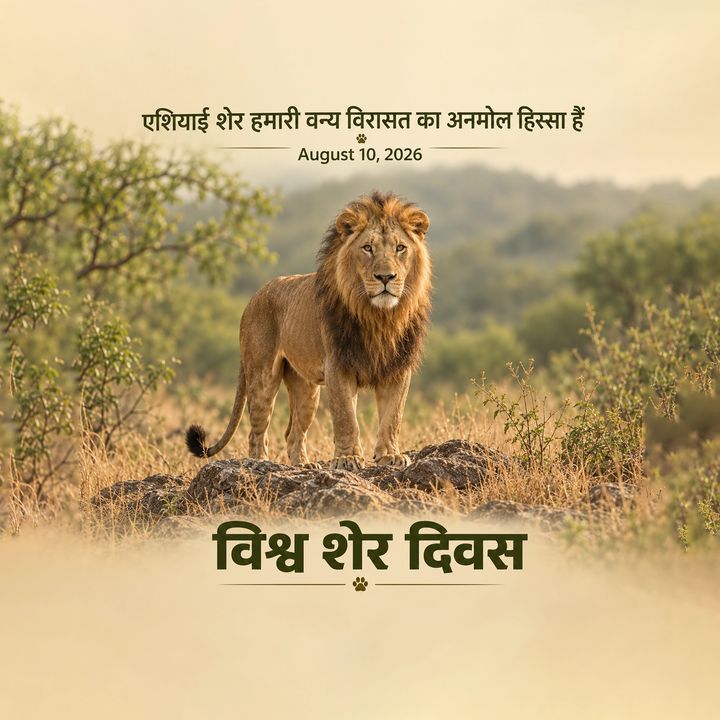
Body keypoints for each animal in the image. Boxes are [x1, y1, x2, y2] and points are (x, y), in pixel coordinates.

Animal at [185, 191, 431, 470]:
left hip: (305, 389)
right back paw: (261, 464)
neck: (380, 317)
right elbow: (346, 418)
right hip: (262, 376)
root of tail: (254, 298)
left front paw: (390, 455)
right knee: (257, 431)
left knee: (292, 433)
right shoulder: (338, 366)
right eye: (367, 248)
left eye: (400, 248)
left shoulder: (397, 368)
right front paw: (348, 459)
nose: (386, 277)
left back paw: (303, 465)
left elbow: (393, 417)